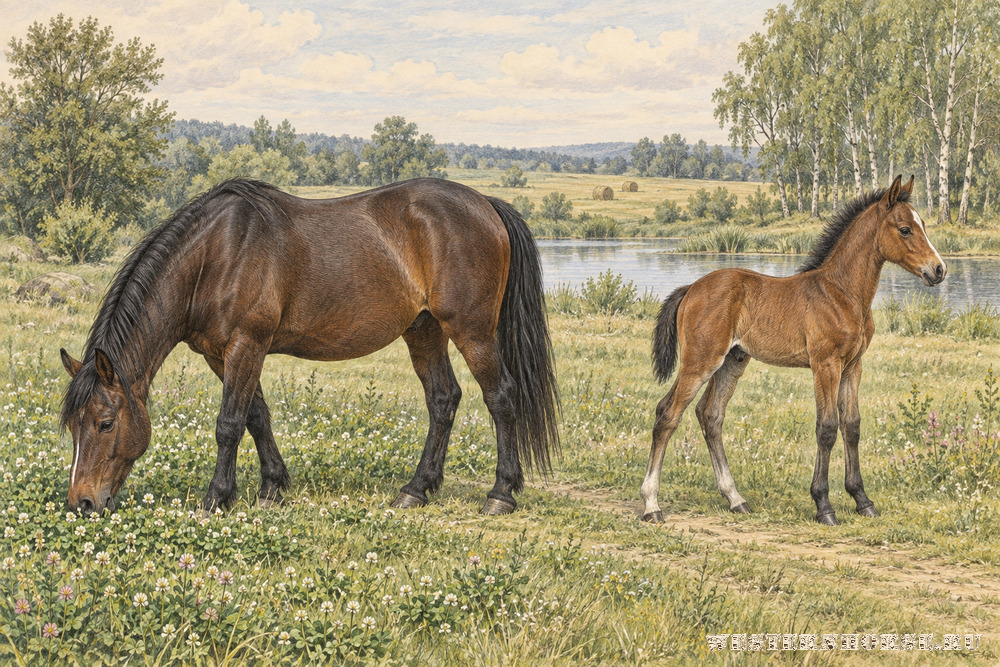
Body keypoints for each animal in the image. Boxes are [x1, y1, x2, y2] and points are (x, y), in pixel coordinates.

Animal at [58, 178, 559, 517]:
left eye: (105, 423)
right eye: (72, 426)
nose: (82, 503)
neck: (217, 253)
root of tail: (486, 204)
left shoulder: (247, 344)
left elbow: (229, 424)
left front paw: (218, 498)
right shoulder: (223, 354)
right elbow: (256, 417)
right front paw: (273, 487)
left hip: (472, 330)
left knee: (500, 398)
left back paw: (501, 493)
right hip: (424, 329)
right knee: (443, 399)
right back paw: (416, 489)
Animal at [641, 176, 946, 525]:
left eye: (923, 225)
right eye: (905, 229)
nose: (939, 270)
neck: (842, 292)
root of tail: (691, 288)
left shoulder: (853, 366)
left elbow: (852, 426)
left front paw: (862, 500)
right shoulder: (825, 364)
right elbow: (827, 427)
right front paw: (824, 506)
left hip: (732, 361)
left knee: (710, 415)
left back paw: (735, 499)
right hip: (701, 360)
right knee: (667, 413)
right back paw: (651, 505)